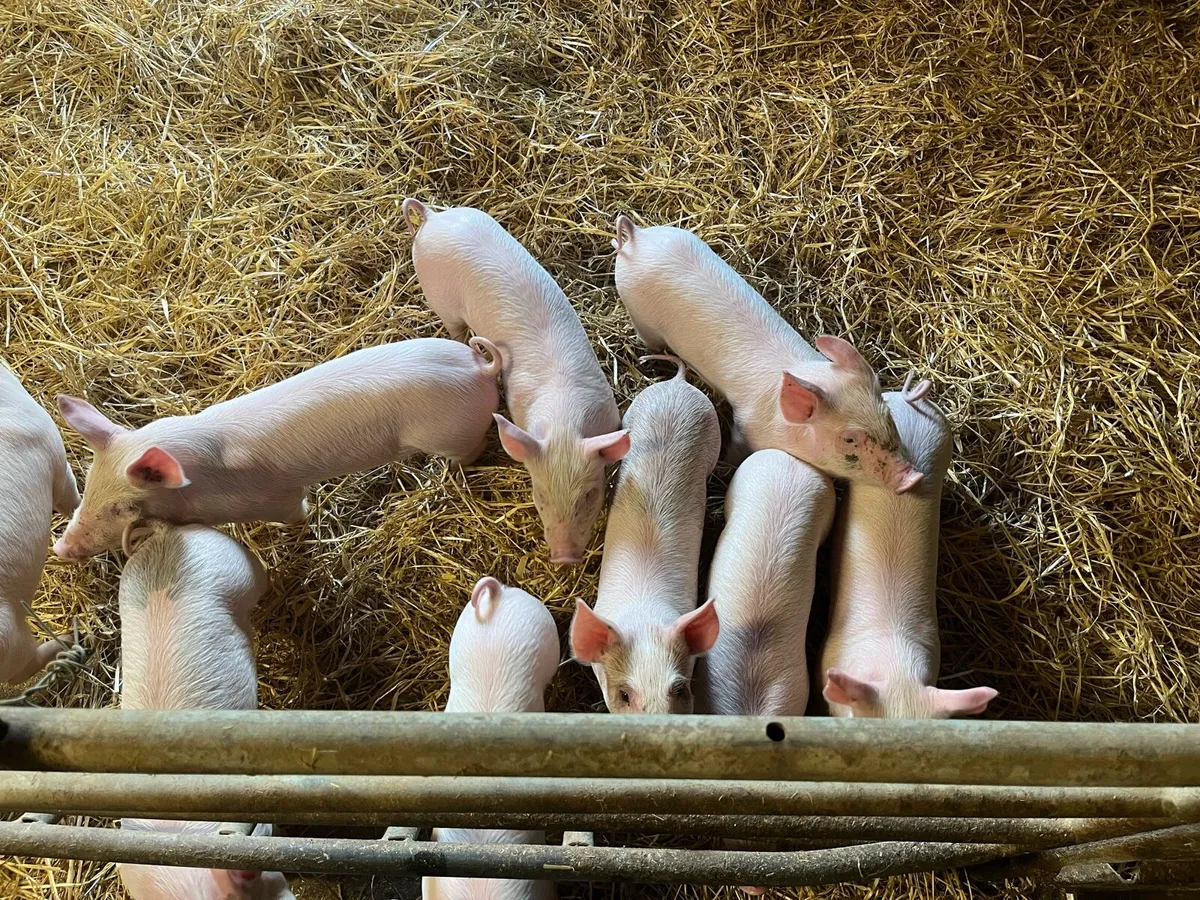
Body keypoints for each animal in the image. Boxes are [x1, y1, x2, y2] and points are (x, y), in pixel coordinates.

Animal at [55, 337, 503, 559]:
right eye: (87, 489)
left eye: (123, 508)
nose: (60, 548)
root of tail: (480, 368)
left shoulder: (275, 497)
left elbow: (295, 513)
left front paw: (300, 532)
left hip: (452, 434)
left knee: (474, 447)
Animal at [404, 200, 628, 564]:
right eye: (540, 495)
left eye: (588, 495)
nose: (564, 557)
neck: (564, 420)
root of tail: (432, 218)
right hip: (439, 299)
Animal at [612, 215, 923, 494]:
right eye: (849, 440)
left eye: (889, 416)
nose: (913, 477)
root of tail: (638, 239)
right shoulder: (745, 428)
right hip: (638, 314)